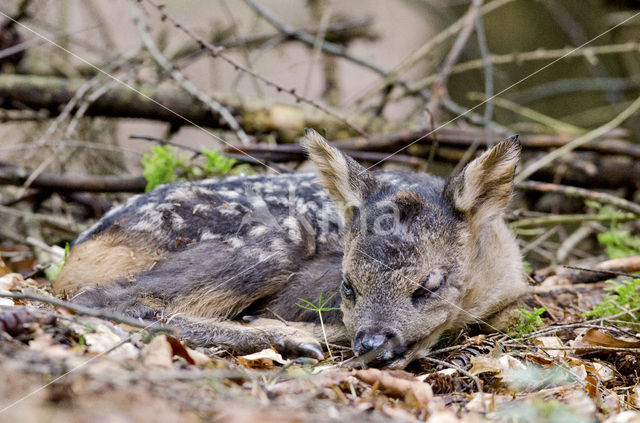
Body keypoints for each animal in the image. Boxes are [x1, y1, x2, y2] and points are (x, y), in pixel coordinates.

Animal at [55, 131, 528, 370]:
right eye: (347, 285)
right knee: (110, 299)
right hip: (276, 239)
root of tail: (81, 249)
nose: (372, 341)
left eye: (430, 285)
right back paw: (289, 338)